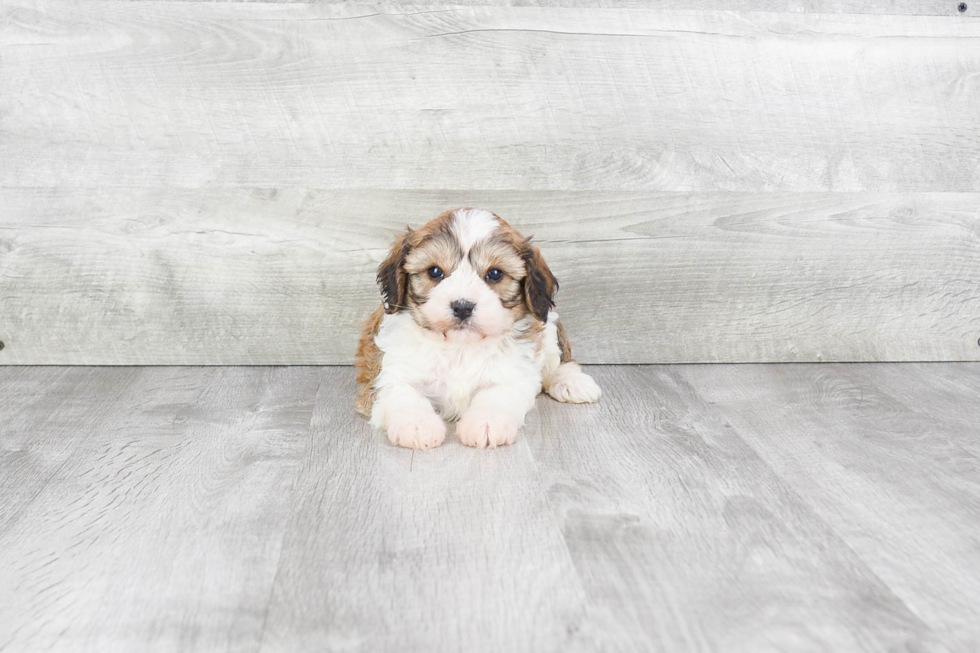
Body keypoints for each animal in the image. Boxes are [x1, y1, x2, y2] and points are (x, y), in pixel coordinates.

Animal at [352, 209, 596, 448]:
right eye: (434, 272)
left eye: (495, 274)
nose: (462, 306)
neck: (461, 347)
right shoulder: (389, 373)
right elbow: (403, 392)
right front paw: (417, 424)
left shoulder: (513, 373)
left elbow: (497, 394)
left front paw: (487, 422)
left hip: (548, 327)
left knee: (558, 361)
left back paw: (572, 383)